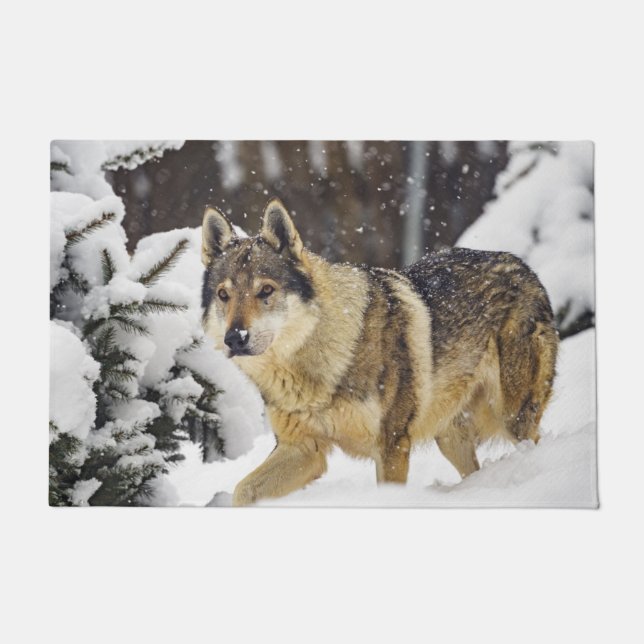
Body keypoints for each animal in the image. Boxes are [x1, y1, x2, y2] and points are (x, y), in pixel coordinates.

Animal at [201, 198, 559, 506]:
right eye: (223, 295)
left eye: (266, 290)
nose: (235, 338)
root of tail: (524, 266)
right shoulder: (303, 449)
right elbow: (242, 491)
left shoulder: (392, 444)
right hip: (451, 437)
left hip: (513, 418)